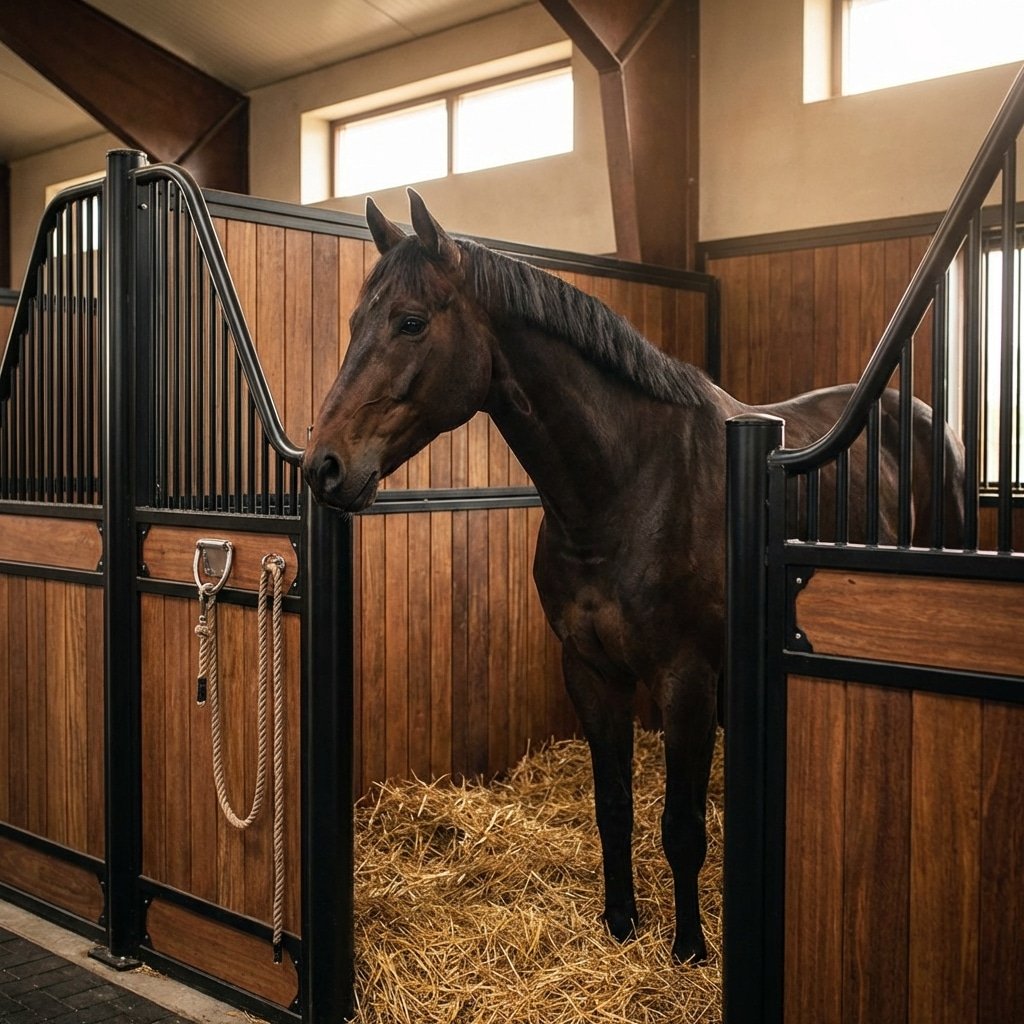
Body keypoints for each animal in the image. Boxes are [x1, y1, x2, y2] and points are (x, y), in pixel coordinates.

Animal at [302, 191, 965, 964]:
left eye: (410, 321)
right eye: (356, 323)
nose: (323, 466)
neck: (625, 487)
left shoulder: (685, 677)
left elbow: (680, 825)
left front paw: (690, 947)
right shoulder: (590, 670)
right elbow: (613, 805)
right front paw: (620, 921)